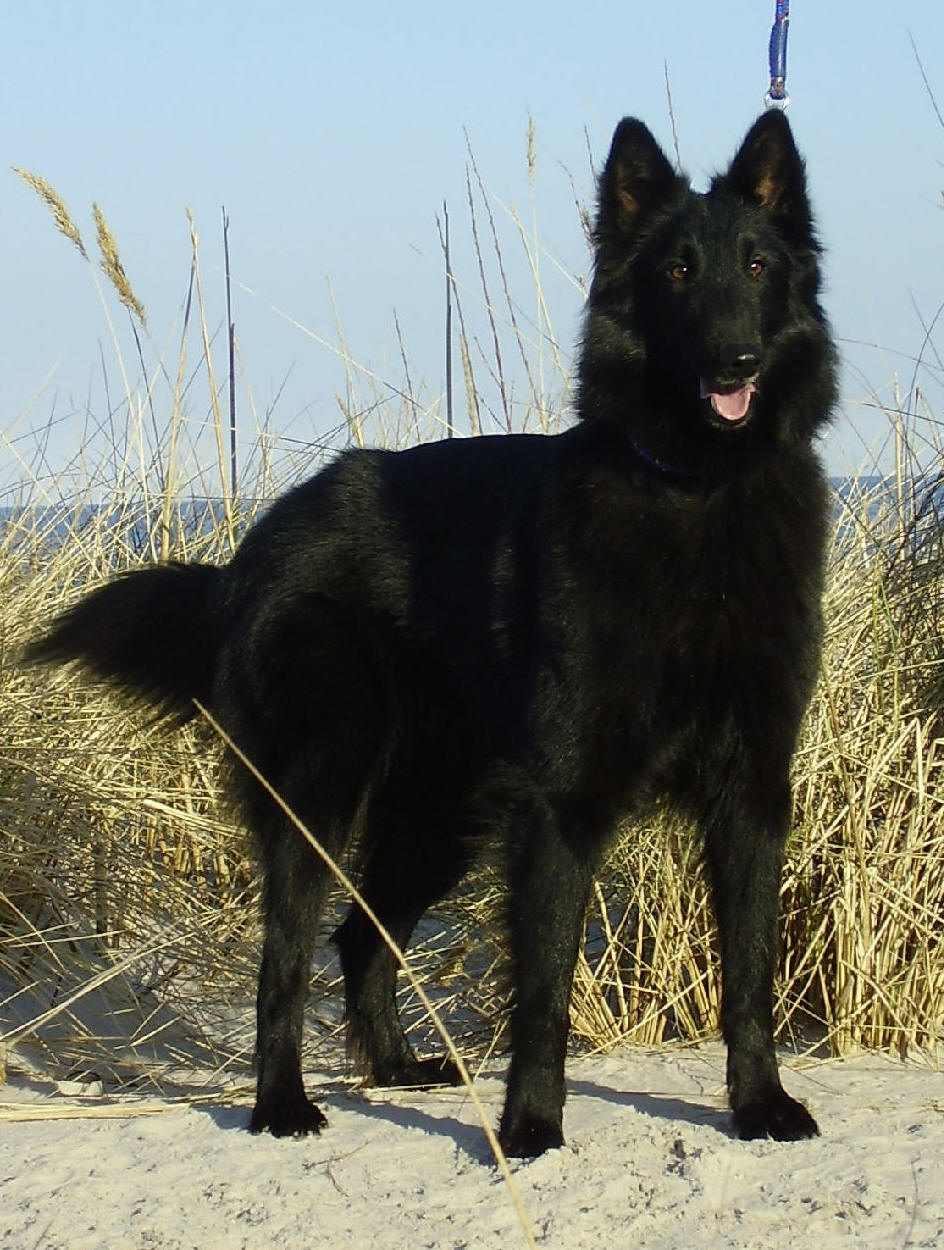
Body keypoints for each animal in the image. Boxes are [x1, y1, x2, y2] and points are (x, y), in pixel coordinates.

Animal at [25, 112, 835, 1155]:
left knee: (362, 934)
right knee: (286, 958)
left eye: (757, 265)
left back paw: (395, 1067)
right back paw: (281, 1105)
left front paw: (760, 1105)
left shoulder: (751, 788)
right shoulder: (560, 803)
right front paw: (530, 1125)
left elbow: (751, 971)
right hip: (322, 793)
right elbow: (543, 987)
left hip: (440, 809)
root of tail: (251, 553)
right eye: (678, 273)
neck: (696, 490)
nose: (735, 359)